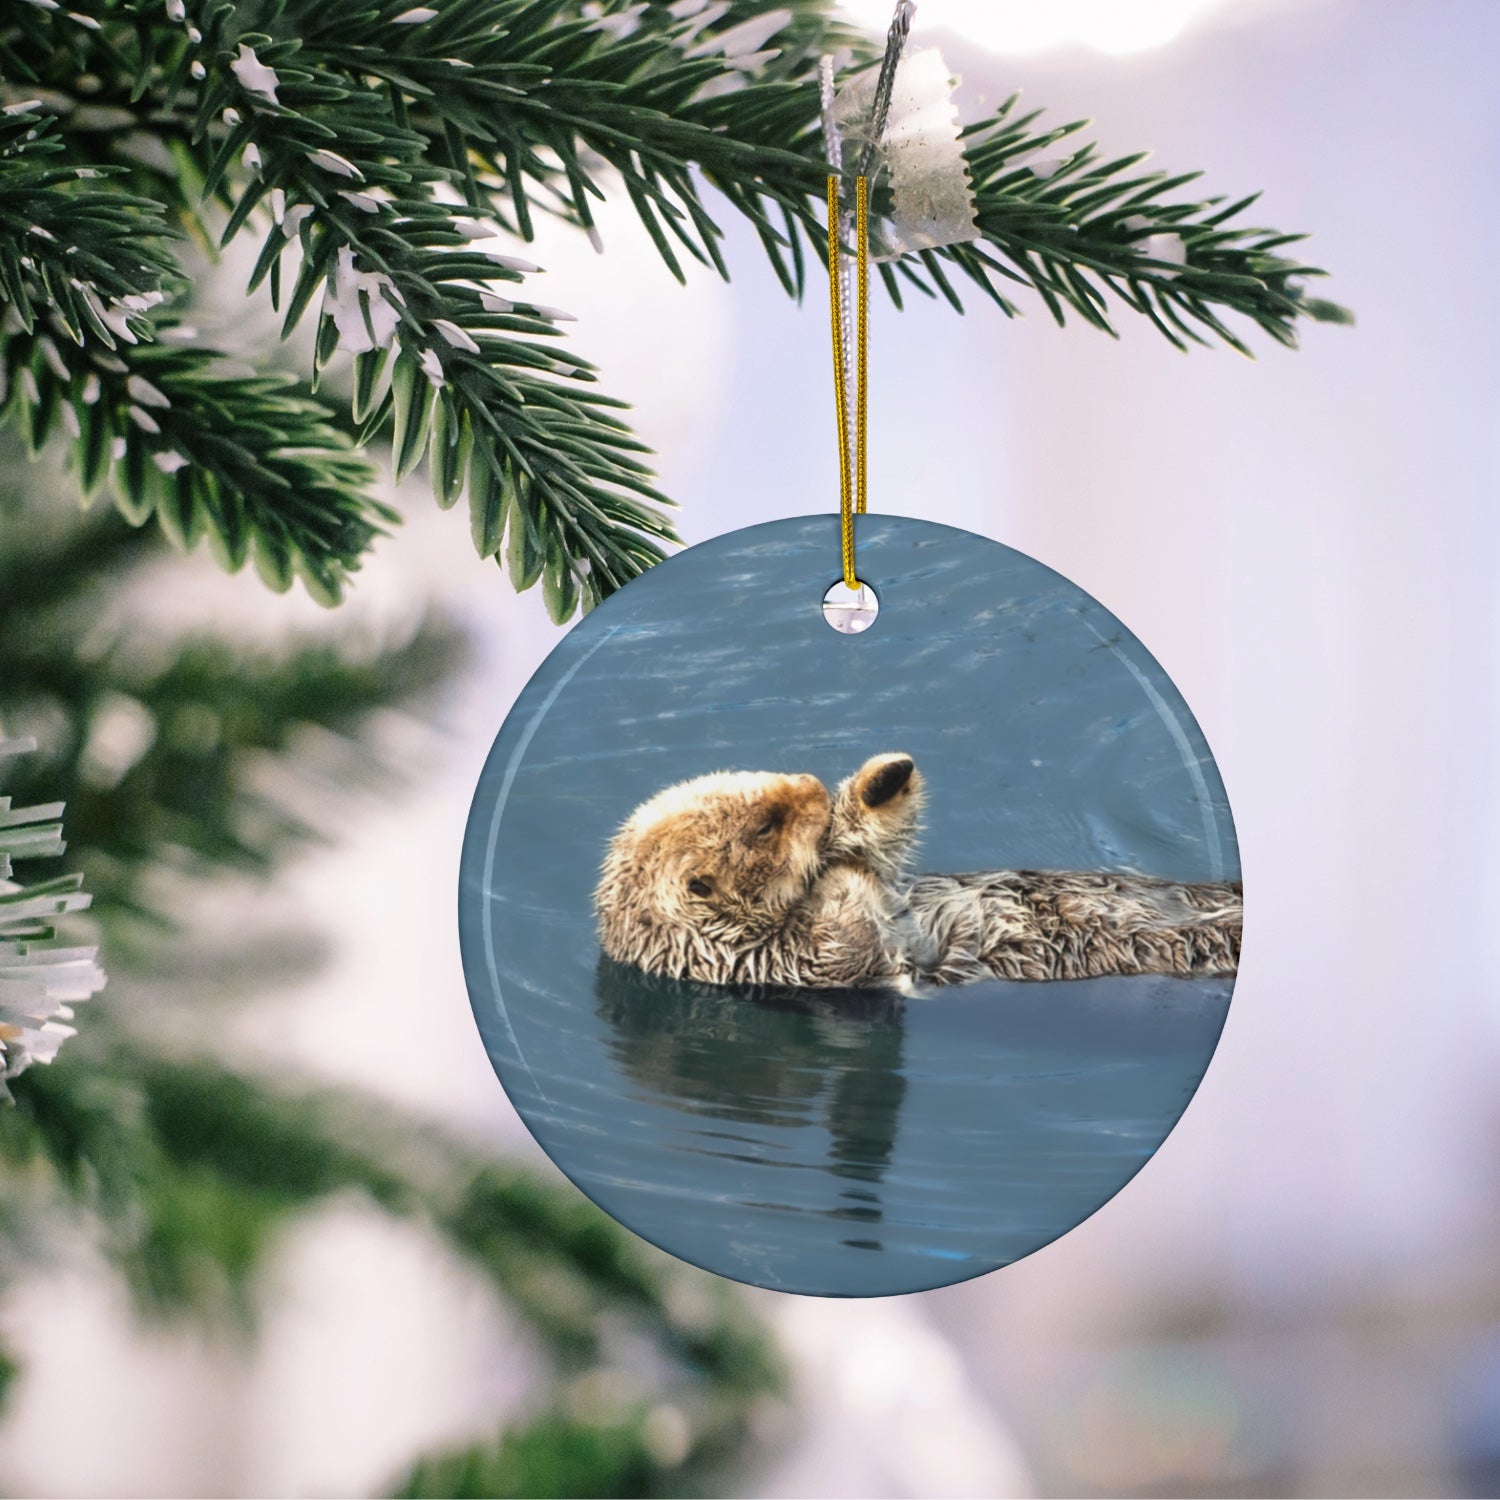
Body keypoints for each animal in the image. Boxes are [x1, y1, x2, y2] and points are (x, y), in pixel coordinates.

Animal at [594, 753, 1242, 991]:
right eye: (765, 826)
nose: (811, 786)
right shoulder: (777, 963)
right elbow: (846, 941)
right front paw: (838, 869)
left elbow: (880, 855)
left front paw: (881, 782)